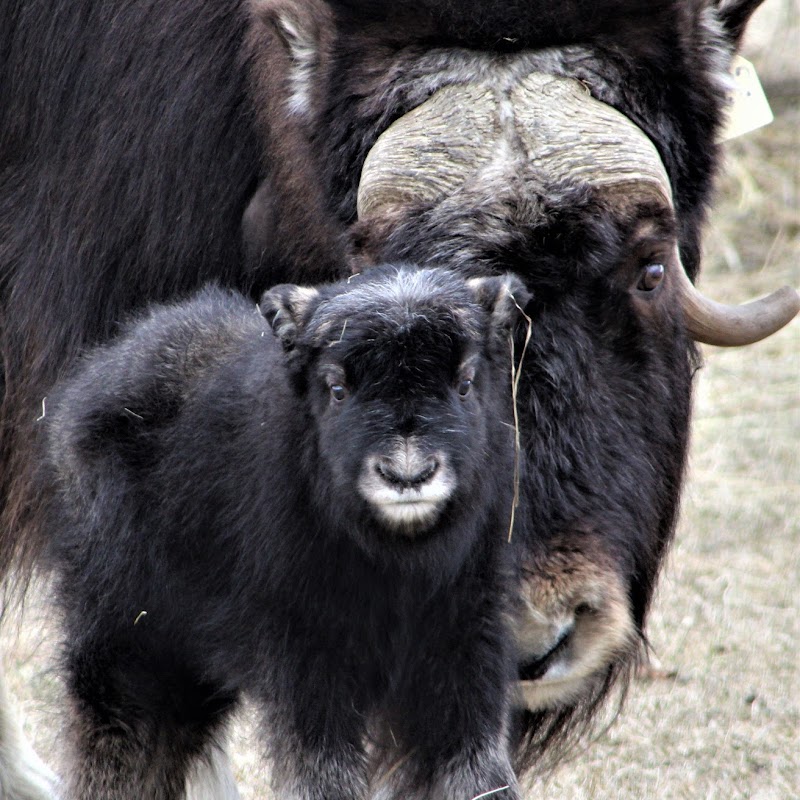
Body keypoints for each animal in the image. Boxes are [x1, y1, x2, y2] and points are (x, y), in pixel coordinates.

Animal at [42, 268, 532, 800]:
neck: (397, 562)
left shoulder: (465, 646)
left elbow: (476, 766)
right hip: (128, 645)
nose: (407, 476)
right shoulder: (307, 661)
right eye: (337, 388)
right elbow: (323, 771)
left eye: (465, 383)